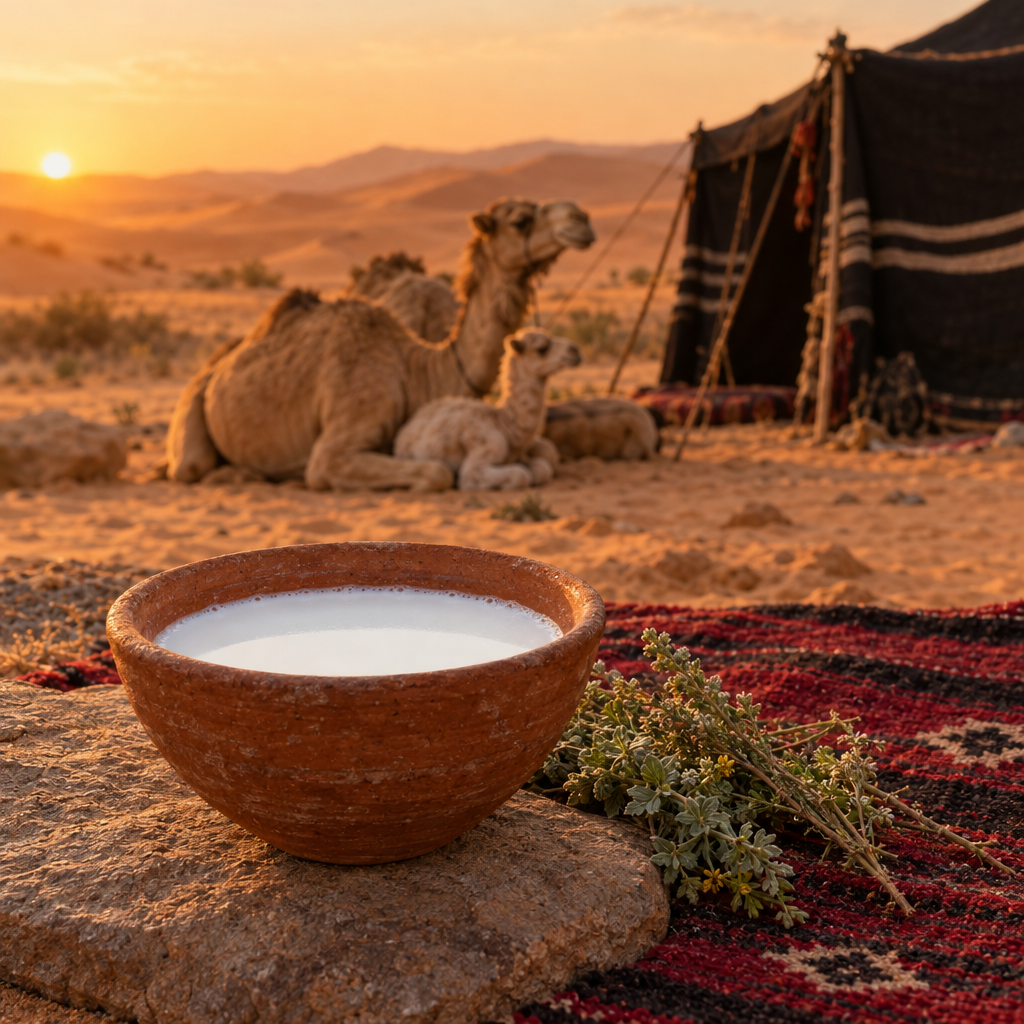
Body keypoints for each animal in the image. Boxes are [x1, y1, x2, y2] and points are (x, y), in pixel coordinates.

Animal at [394, 329, 580, 490]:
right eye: (542, 348)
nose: (575, 351)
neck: (505, 425)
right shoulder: (484, 448)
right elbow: (519, 474)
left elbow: (543, 468)